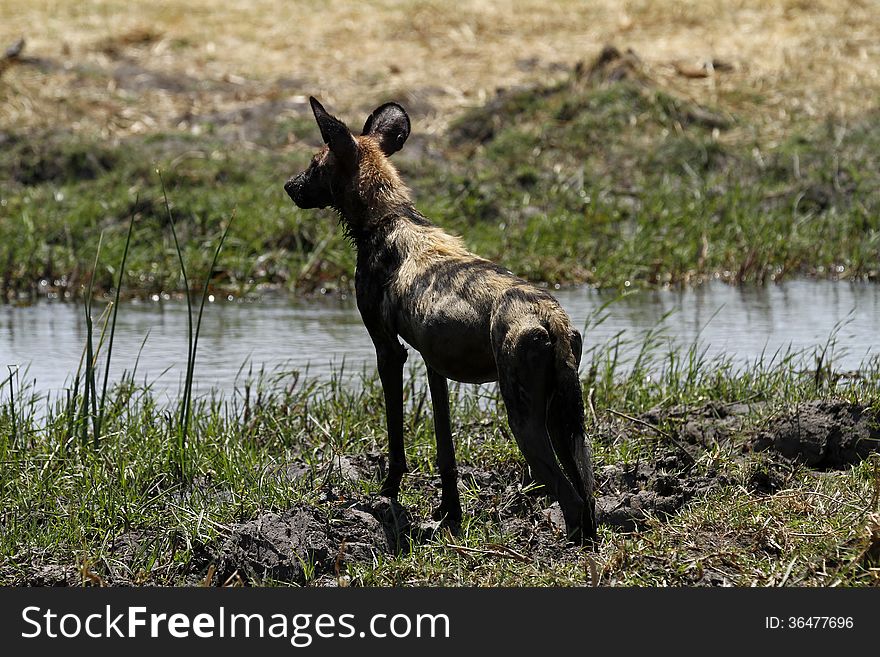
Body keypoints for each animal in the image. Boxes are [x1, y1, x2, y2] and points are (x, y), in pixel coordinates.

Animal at [286, 97, 600, 544]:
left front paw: (387, 493)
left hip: (524, 422)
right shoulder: (436, 364)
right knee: (585, 494)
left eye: (314, 164)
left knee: (570, 498)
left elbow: (396, 438)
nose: (289, 186)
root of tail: (549, 316)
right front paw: (449, 511)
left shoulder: (389, 351)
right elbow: (445, 449)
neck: (389, 216)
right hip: (564, 419)